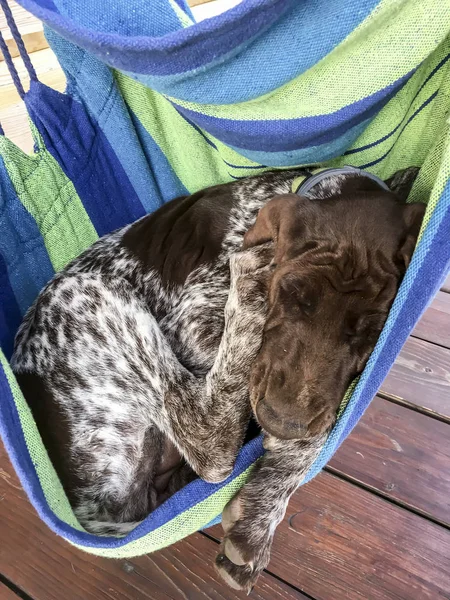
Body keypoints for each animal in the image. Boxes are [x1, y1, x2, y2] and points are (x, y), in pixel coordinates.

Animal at [11, 165, 426, 592]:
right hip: (81, 295)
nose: (284, 423)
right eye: (288, 293)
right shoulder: (190, 324)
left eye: (371, 334)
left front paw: (263, 507)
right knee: (211, 440)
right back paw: (249, 278)